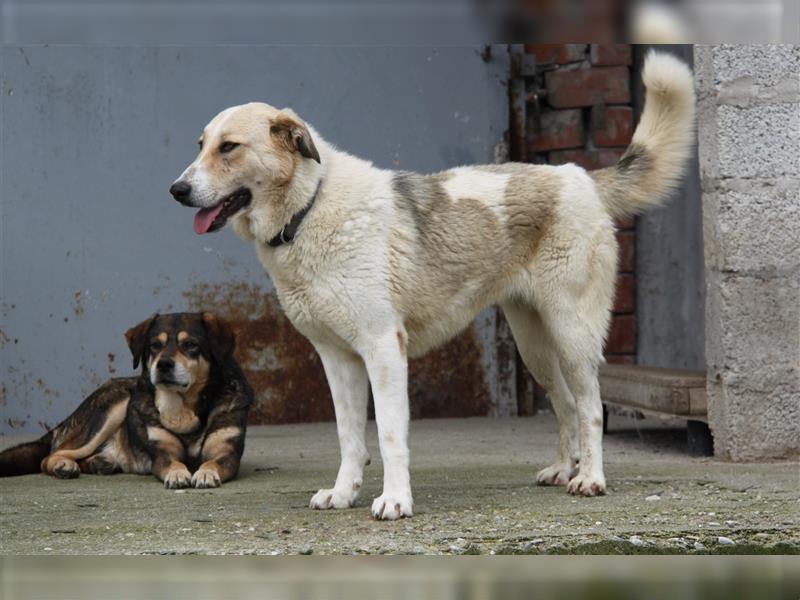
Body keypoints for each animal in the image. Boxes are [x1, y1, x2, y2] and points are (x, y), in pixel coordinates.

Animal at [0, 314, 253, 488]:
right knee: (49, 456)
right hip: (115, 405)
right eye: (155, 345)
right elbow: (173, 462)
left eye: (190, 344)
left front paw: (206, 472)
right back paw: (65, 466)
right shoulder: (162, 453)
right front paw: (178, 473)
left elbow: (213, 462)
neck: (184, 409)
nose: (163, 364)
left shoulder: (227, 451)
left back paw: (99, 463)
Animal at [172, 52, 696, 520]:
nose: (176, 190)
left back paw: (590, 478)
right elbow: (349, 436)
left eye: (229, 147)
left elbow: (389, 434)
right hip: (534, 346)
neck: (308, 209)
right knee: (565, 404)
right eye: (199, 145)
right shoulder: (337, 359)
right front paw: (343, 494)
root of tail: (578, 175)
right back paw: (562, 470)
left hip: (572, 333)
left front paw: (395, 501)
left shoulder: (383, 348)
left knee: (590, 407)